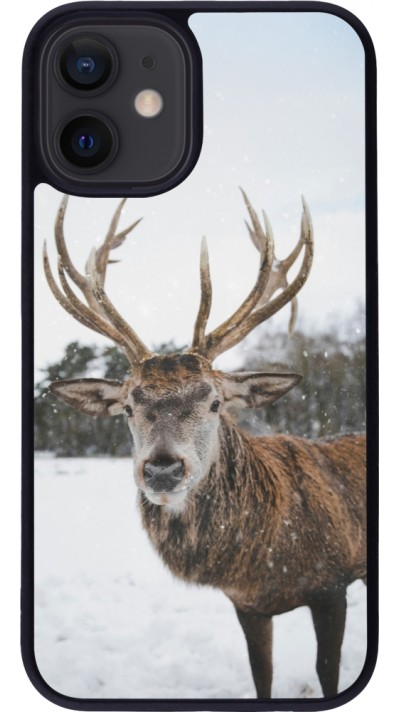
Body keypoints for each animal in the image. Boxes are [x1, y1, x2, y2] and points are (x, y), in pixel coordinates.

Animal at [43, 191, 366, 699]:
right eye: (128, 407)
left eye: (215, 402)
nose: (162, 469)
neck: (264, 561)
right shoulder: (247, 605)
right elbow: (261, 676)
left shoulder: (333, 583)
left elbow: (327, 672)